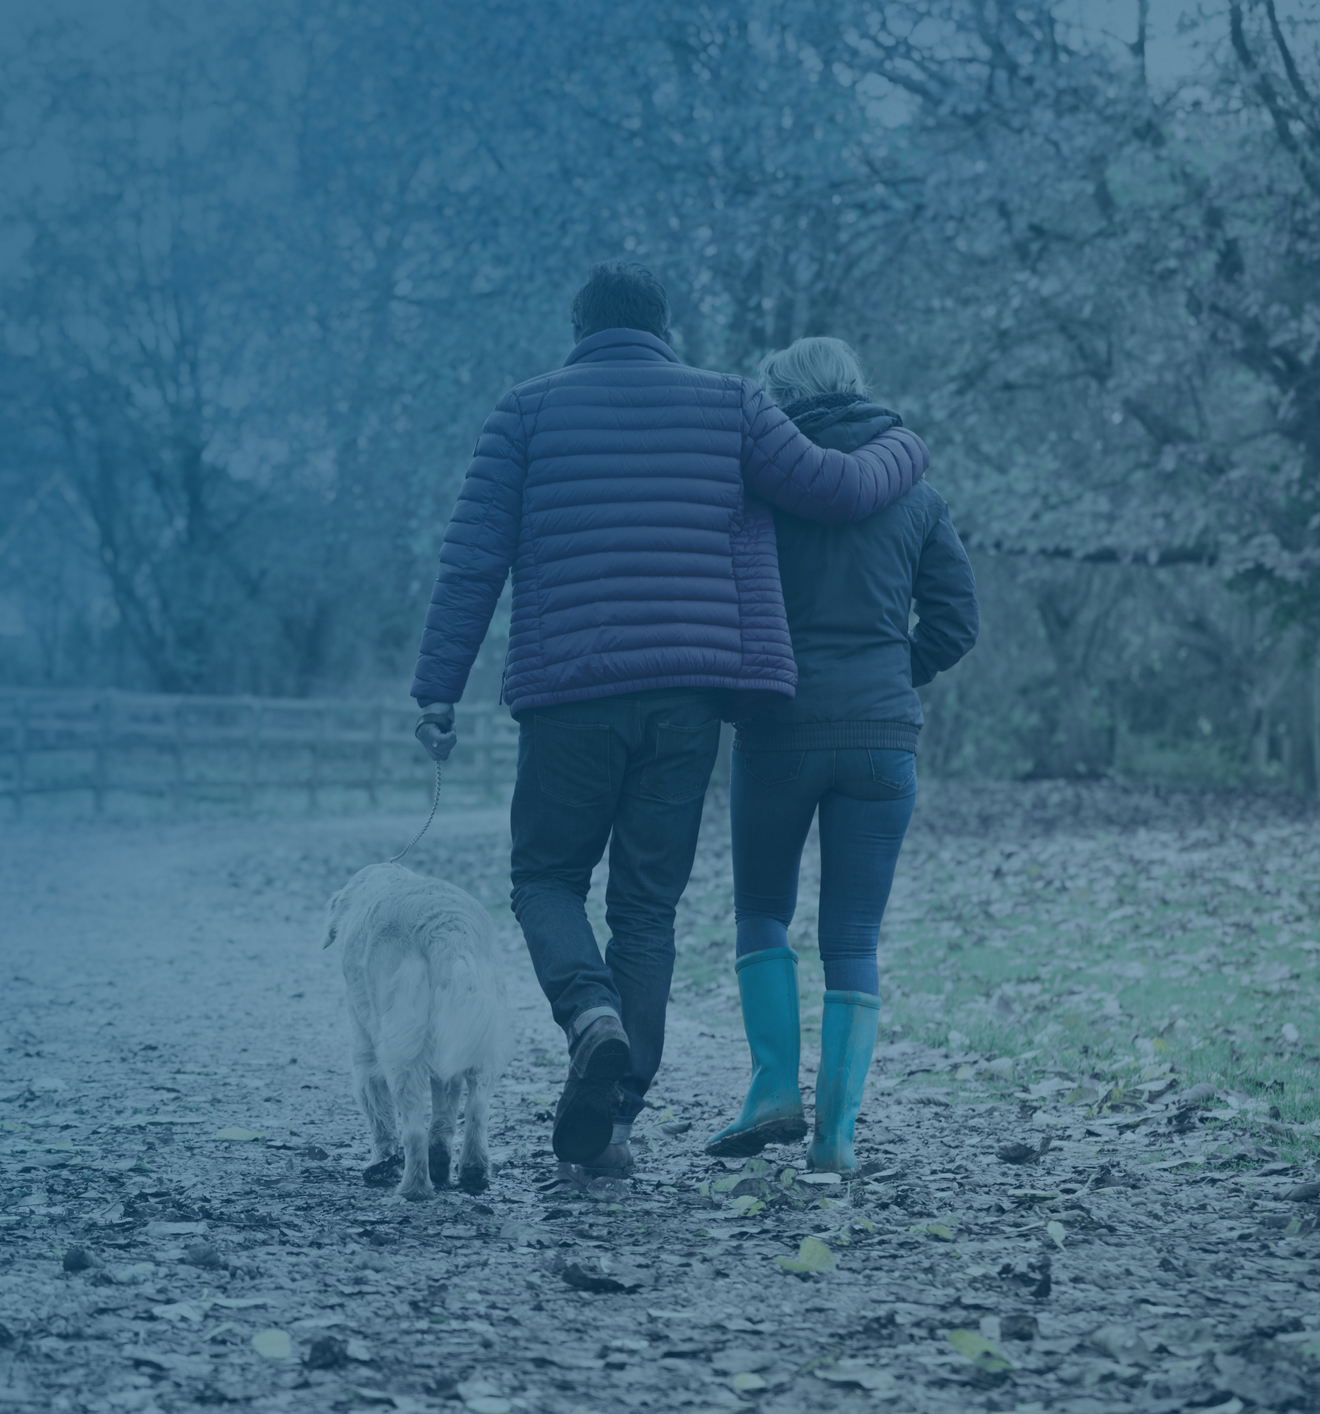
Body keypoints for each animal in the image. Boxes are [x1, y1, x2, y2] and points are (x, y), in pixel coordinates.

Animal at [323, 854, 508, 1199]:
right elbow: (445, 1117)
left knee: (412, 1129)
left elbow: (379, 1115)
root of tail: (446, 928)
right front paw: (441, 1162)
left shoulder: (366, 1050)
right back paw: (473, 1172)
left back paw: (415, 1188)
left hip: (401, 1053)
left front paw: (381, 1163)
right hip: (480, 1041)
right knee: (476, 1109)